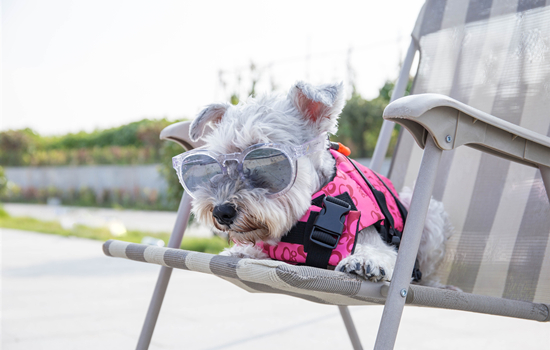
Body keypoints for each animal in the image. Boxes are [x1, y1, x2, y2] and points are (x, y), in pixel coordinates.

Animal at [176, 82, 452, 288]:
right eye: (212, 165)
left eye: (268, 160)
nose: (222, 212)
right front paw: (242, 252)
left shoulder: (378, 241)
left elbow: (381, 253)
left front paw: (365, 260)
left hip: (431, 218)